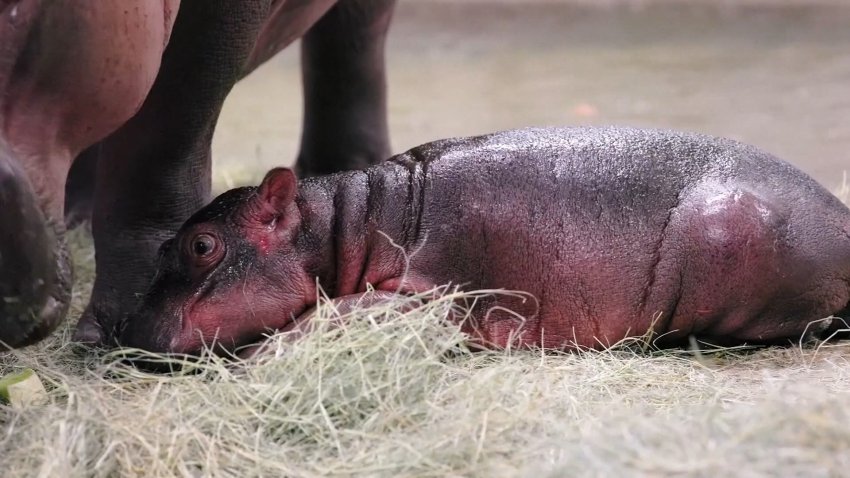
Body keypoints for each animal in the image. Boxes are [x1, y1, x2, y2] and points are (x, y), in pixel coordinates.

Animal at [114, 127, 848, 354]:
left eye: (201, 246)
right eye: (164, 245)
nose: (125, 328)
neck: (342, 222)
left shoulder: (430, 295)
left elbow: (335, 311)